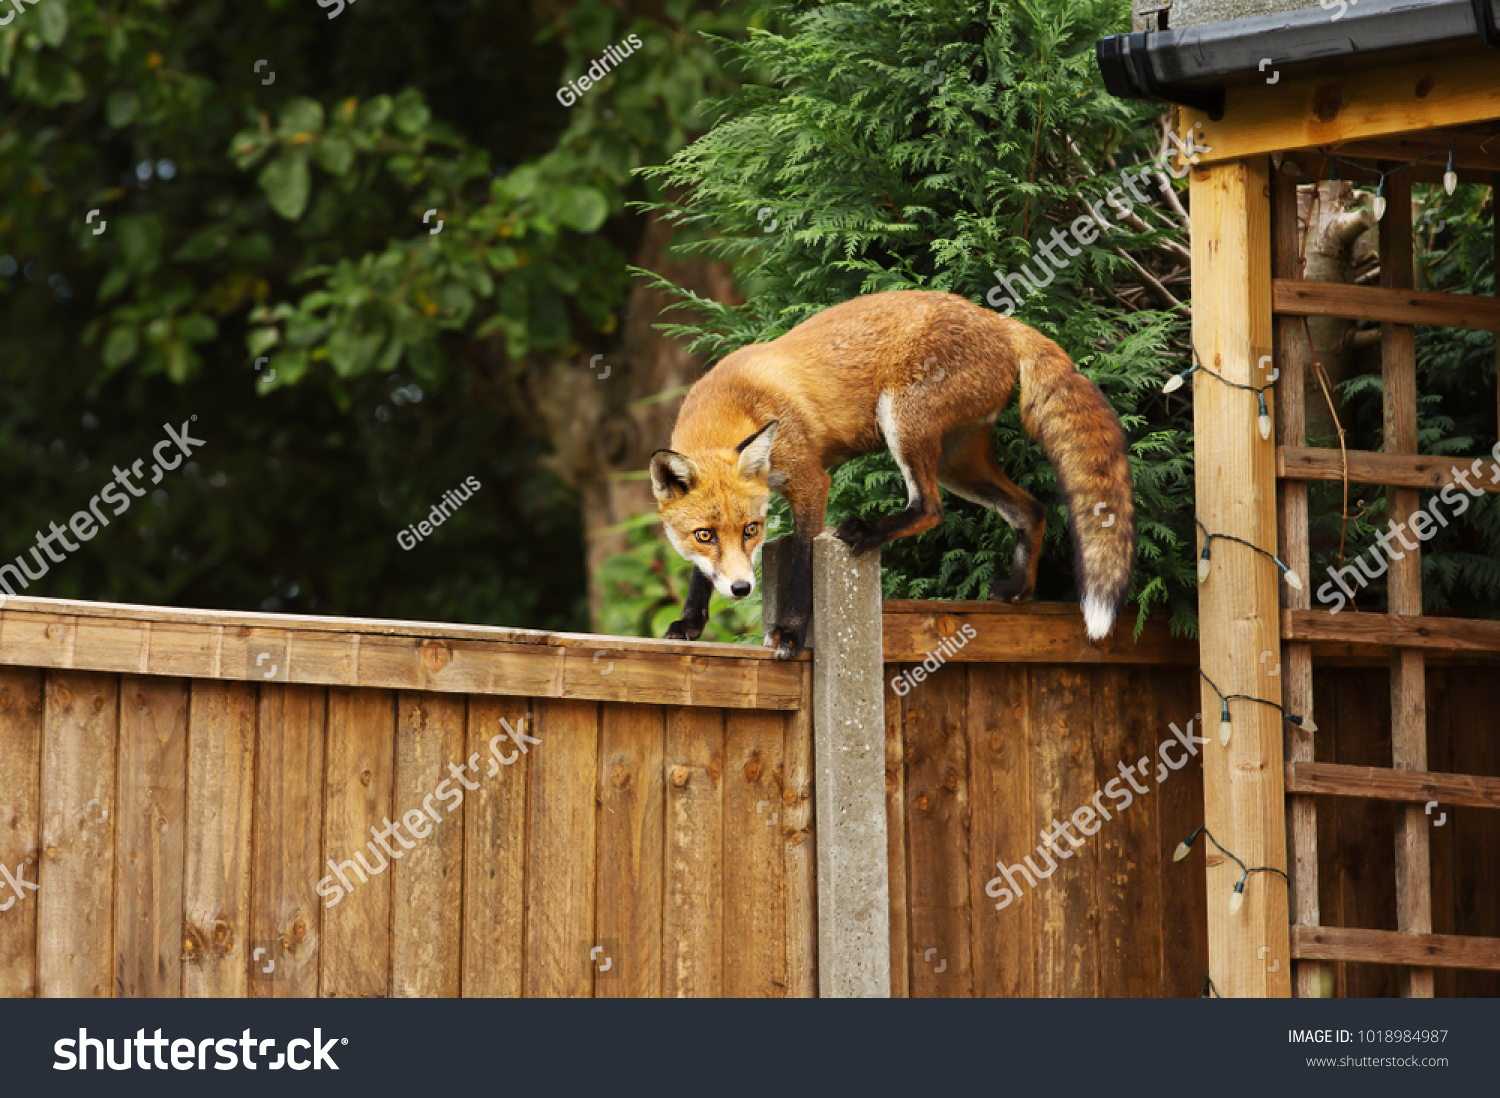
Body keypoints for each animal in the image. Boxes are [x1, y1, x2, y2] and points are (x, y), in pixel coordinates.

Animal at [648, 290, 1135, 660]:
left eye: (752, 530)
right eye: (704, 535)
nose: (742, 588)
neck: (735, 402)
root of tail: (1000, 320)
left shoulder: (812, 482)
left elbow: (803, 562)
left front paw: (790, 632)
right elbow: (700, 572)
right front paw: (690, 622)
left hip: (903, 424)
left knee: (931, 509)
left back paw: (866, 530)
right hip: (958, 463)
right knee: (1030, 510)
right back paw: (1019, 589)